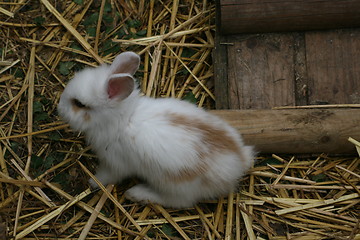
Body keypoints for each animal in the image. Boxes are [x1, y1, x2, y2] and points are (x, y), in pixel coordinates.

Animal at [57, 51, 253, 208]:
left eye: (79, 104)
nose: (59, 107)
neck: (124, 119)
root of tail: (240, 160)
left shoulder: (115, 163)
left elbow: (107, 176)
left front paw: (92, 182)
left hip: (176, 187)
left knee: (178, 202)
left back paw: (137, 193)